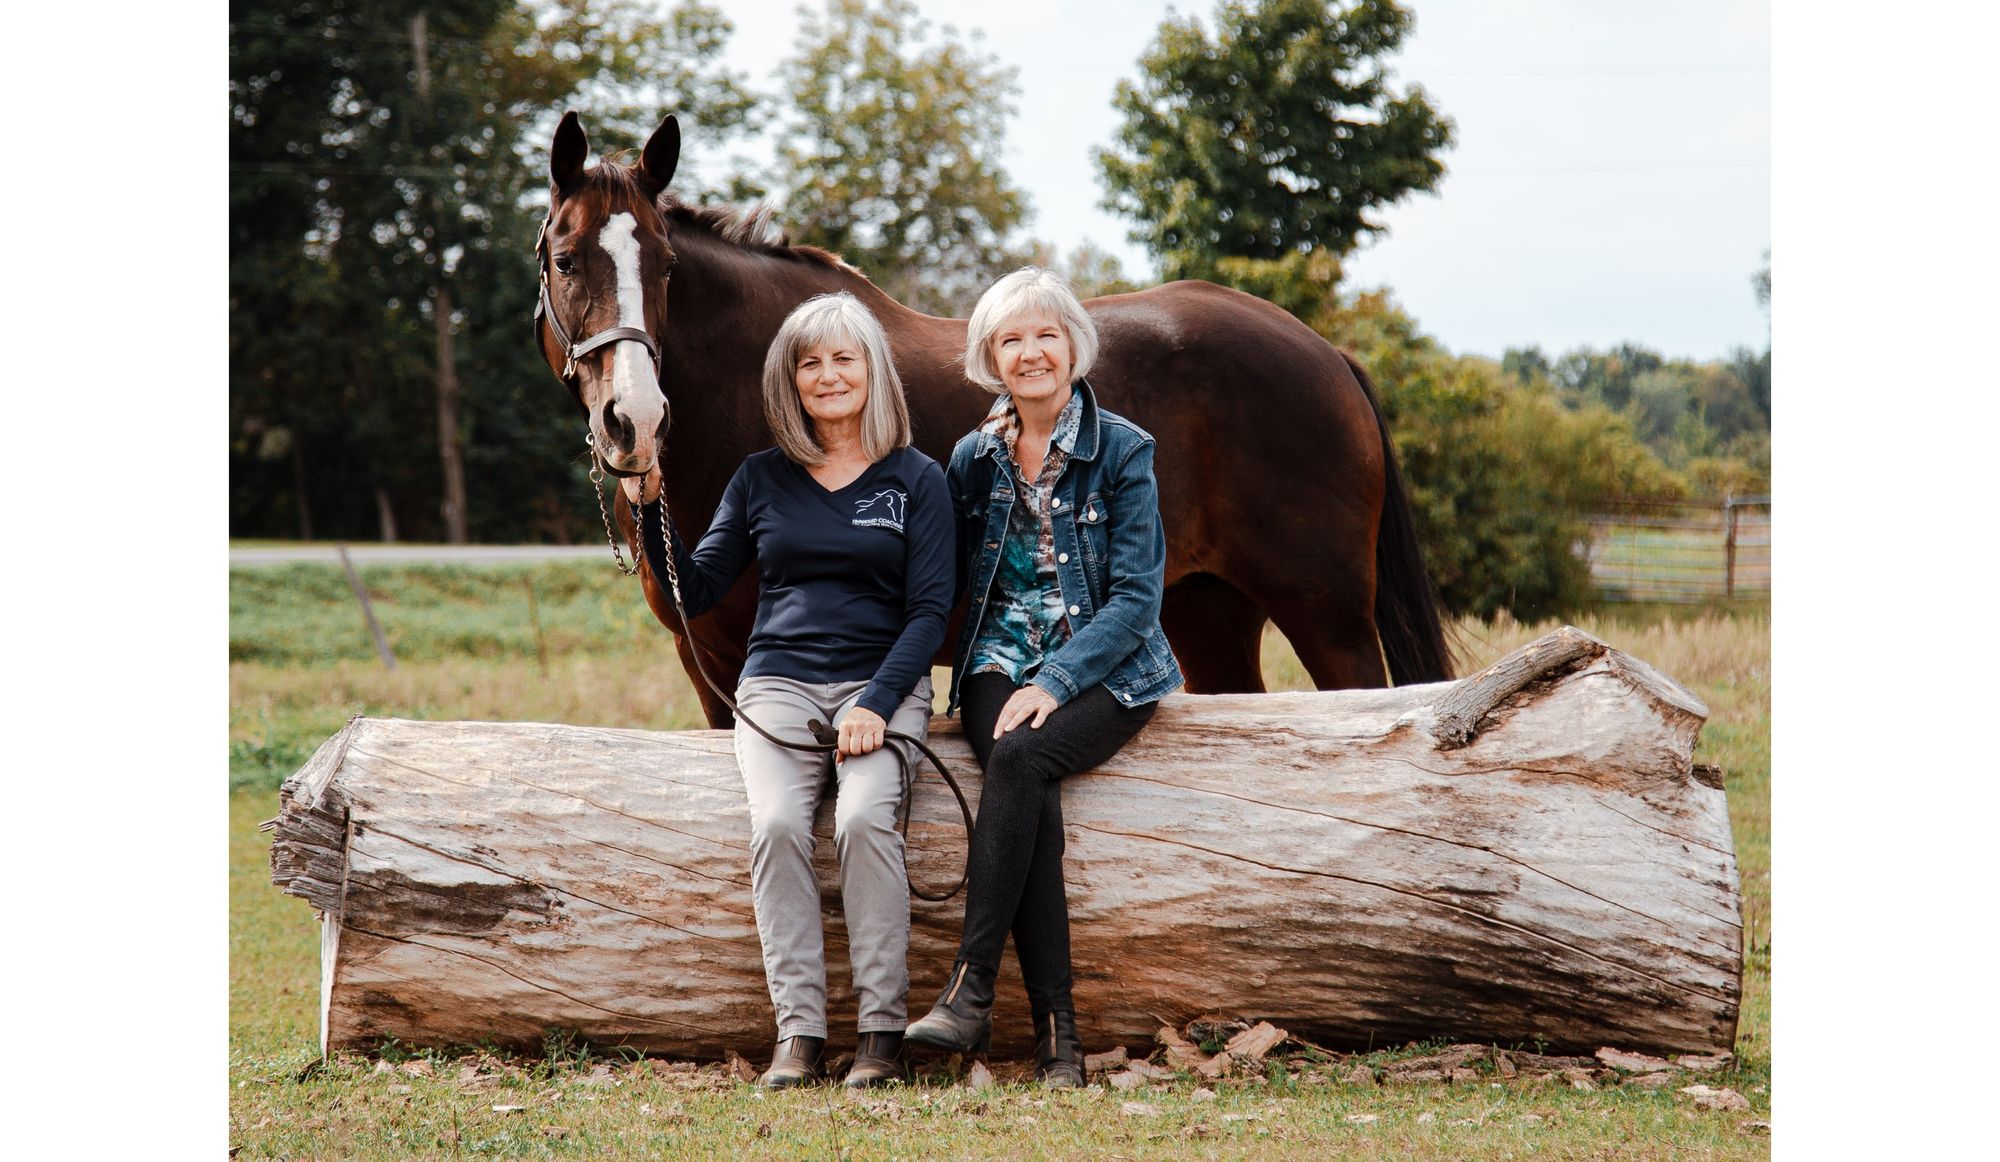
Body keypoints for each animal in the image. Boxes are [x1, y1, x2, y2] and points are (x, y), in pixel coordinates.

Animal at [535, 112, 1451, 729]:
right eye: (565, 258)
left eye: (664, 264)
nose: (634, 418)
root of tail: (1326, 353)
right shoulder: (710, 665)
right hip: (1208, 614)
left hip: (1330, 621)